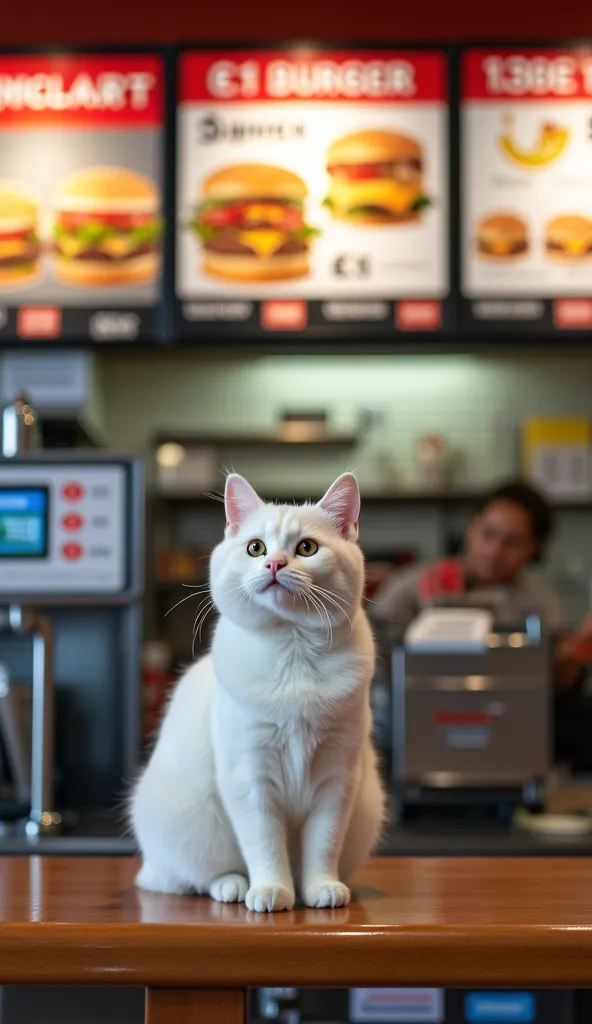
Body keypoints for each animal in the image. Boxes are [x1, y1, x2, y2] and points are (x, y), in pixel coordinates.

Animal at [131, 471, 385, 913]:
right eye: (255, 547)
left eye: (306, 547)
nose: (274, 563)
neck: (293, 651)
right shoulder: (250, 778)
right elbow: (265, 844)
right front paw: (271, 892)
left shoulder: (337, 778)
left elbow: (324, 844)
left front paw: (321, 888)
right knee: (194, 878)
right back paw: (233, 886)